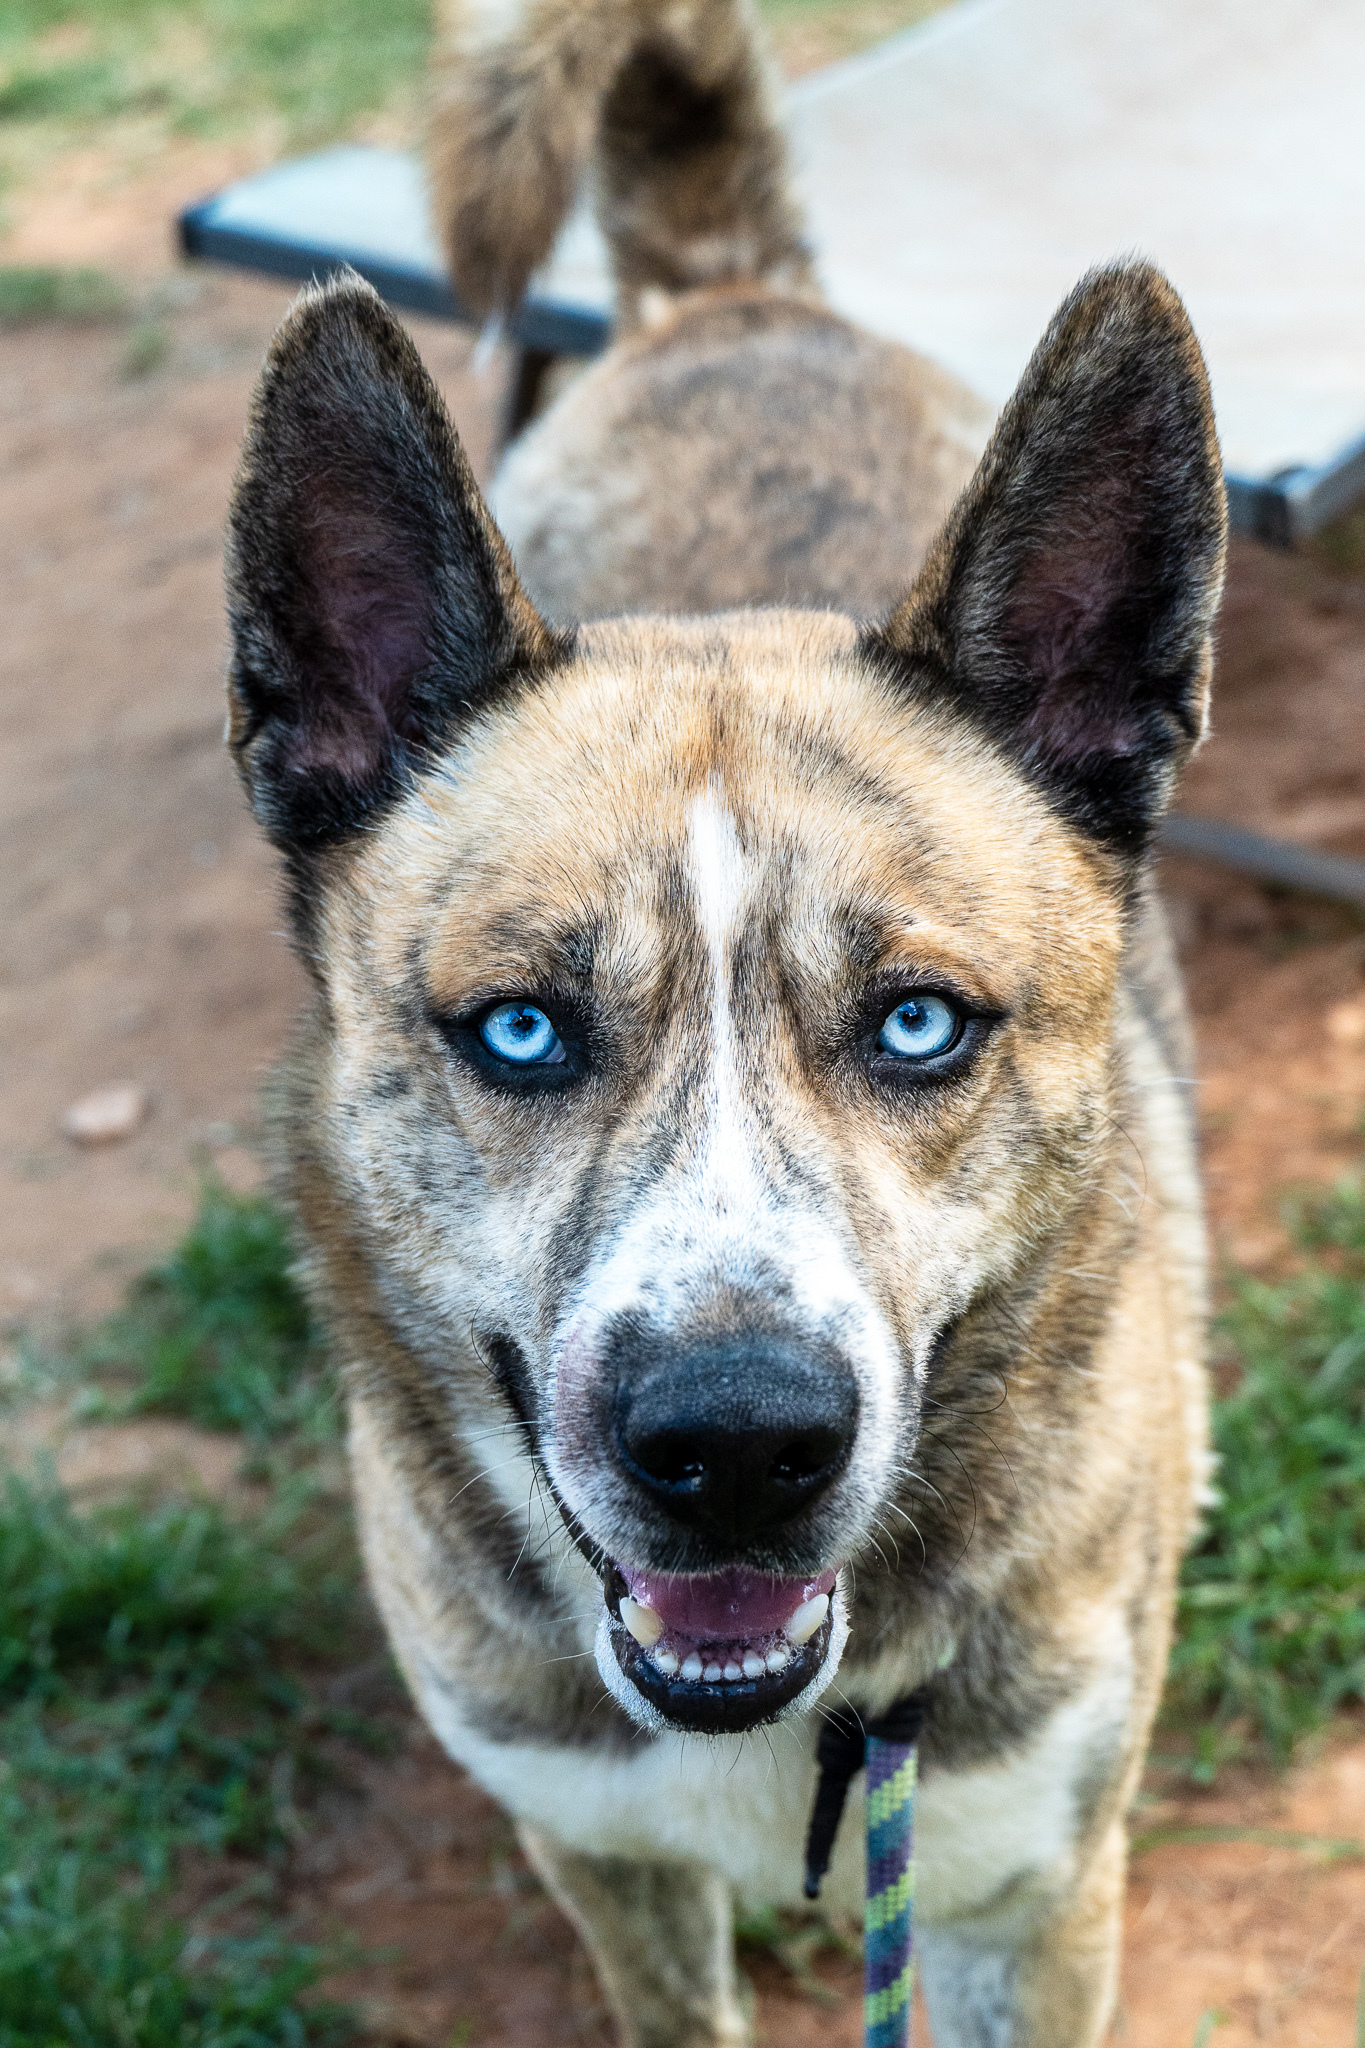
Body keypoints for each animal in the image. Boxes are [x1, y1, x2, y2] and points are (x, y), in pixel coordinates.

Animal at [224, 8, 1227, 2039]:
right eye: (520, 1031)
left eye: (919, 1023)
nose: (741, 1443)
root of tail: (735, 291)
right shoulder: (596, 1850)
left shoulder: (1038, 1893)